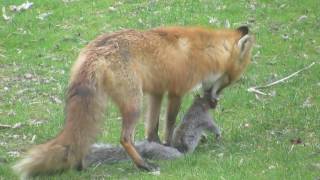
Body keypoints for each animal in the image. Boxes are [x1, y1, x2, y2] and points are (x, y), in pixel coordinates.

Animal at [12, 25, 254, 179]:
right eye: (229, 80)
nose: (215, 100)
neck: (202, 50)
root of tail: (96, 50)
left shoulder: (157, 92)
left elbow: (152, 130)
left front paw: (156, 146)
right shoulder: (175, 92)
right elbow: (170, 125)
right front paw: (171, 147)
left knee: (82, 137)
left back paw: (82, 165)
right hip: (134, 104)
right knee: (125, 138)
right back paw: (144, 165)